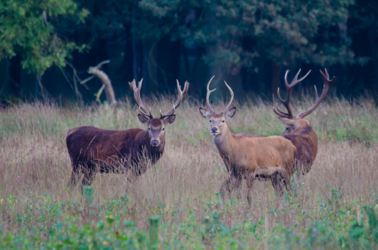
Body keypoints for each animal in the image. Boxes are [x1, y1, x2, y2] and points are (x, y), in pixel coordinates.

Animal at [199, 76, 296, 205]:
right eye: (210, 120)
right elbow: (234, 193)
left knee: (291, 191)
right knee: (281, 192)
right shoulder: (234, 172)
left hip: (287, 168)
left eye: (223, 120)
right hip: (275, 175)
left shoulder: (251, 170)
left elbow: (248, 197)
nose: (214, 129)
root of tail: (293, 146)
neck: (234, 150)